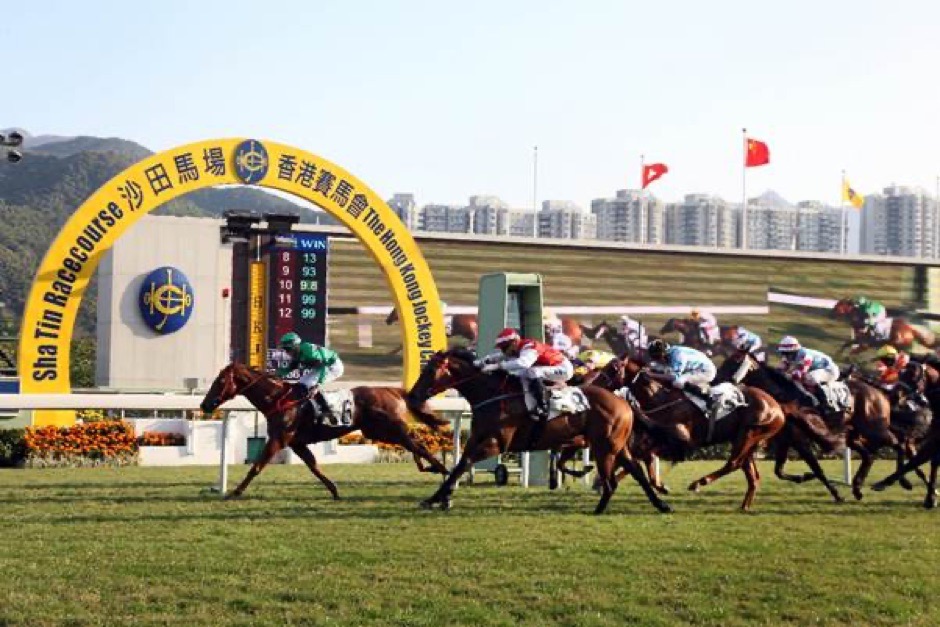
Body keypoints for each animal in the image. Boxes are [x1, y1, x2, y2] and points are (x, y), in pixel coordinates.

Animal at [199, 362, 451, 500]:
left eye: (220, 381)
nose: (205, 404)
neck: (278, 399)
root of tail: (394, 391)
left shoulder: (279, 439)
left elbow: (257, 466)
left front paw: (235, 492)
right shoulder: (296, 443)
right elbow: (314, 467)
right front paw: (335, 490)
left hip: (388, 429)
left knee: (417, 444)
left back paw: (442, 470)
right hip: (378, 432)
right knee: (415, 443)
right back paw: (431, 468)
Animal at [405, 348, 677, 514]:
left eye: (430, 370)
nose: (412, 396)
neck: (491, 394)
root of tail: (623, 401)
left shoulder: (496, 444)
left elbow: (464, 463)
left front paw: (441, 497)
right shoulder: (476, 439)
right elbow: (458, 465)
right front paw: (438, 497)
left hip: (605, 447)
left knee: (611, 481)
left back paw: (601, 507)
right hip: (617, 446)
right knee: (636, 472)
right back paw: (661, 504)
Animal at [617, 356, 787, 511]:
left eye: (614, 369)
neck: (661, 399)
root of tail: (778, 409)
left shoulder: (681, 440)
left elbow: (643, 456)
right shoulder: (658, 439)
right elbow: (641, 456)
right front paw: (659, 487)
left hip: (748, 434)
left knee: (733, 463)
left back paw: (699, 483)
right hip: (744, 439)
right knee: (751, 474)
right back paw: (744, 506)